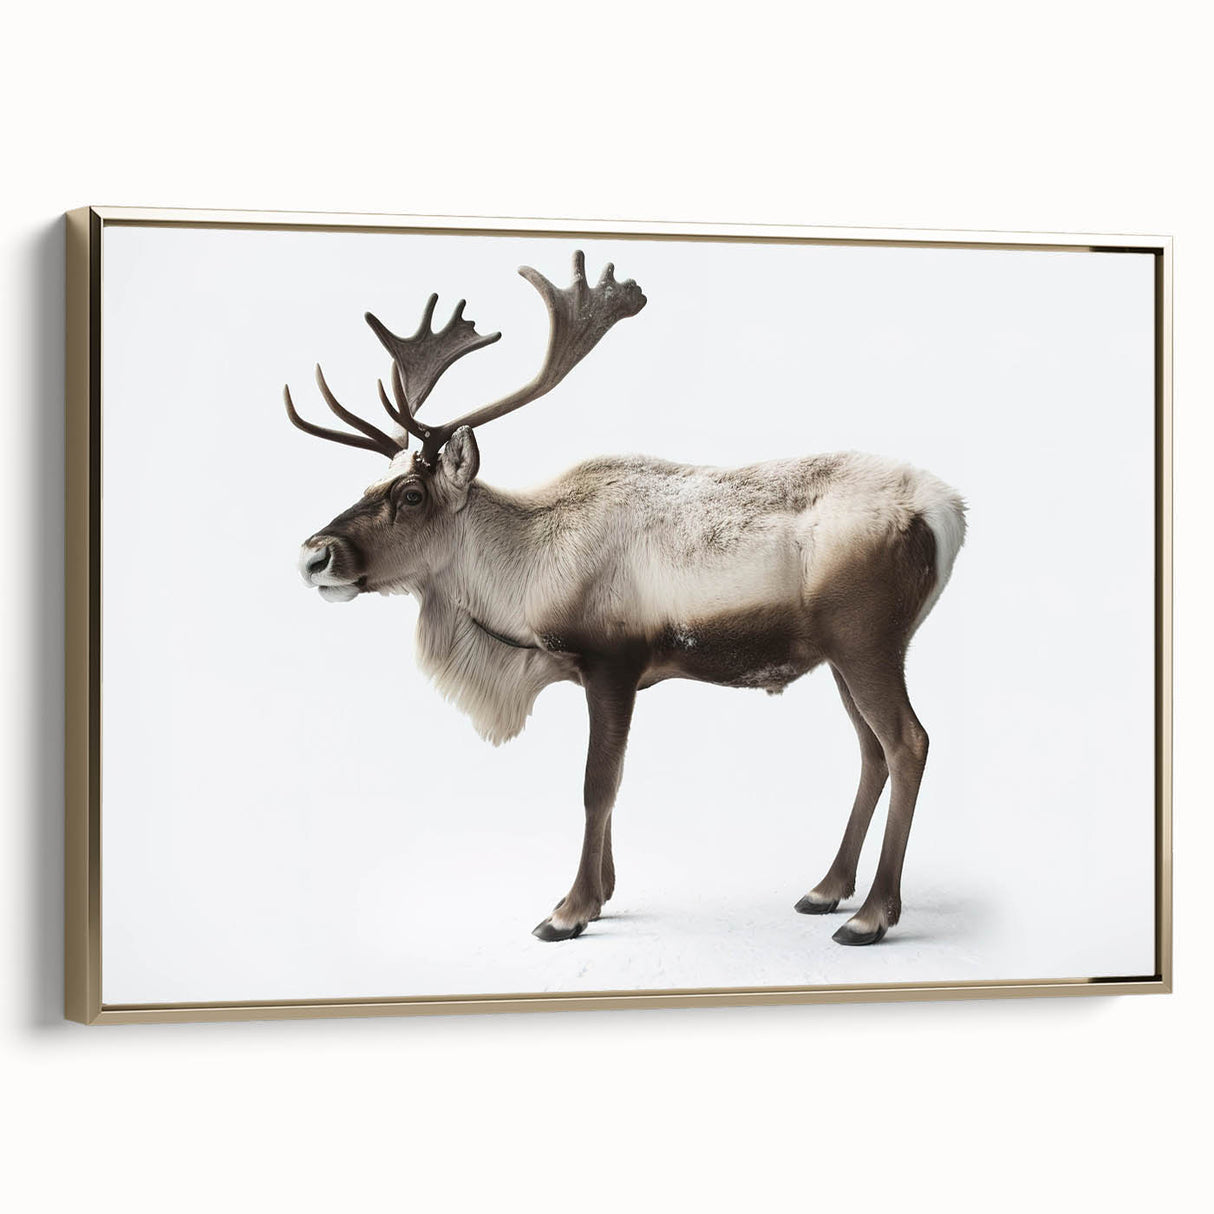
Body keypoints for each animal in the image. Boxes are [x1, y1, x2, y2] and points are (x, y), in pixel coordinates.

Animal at [285, 250, 966, 946]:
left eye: (412, 494)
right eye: (369, 484)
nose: (313, 555)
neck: (526, 576)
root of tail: (949, 512)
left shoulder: (611, 662)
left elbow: (597, 785)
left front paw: (569, 910)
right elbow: (608, 786)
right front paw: (603, 893)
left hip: (867, 640)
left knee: (907, 742)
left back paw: (871, 914)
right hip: (840, 654)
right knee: (871, 751)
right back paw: (826, 889)